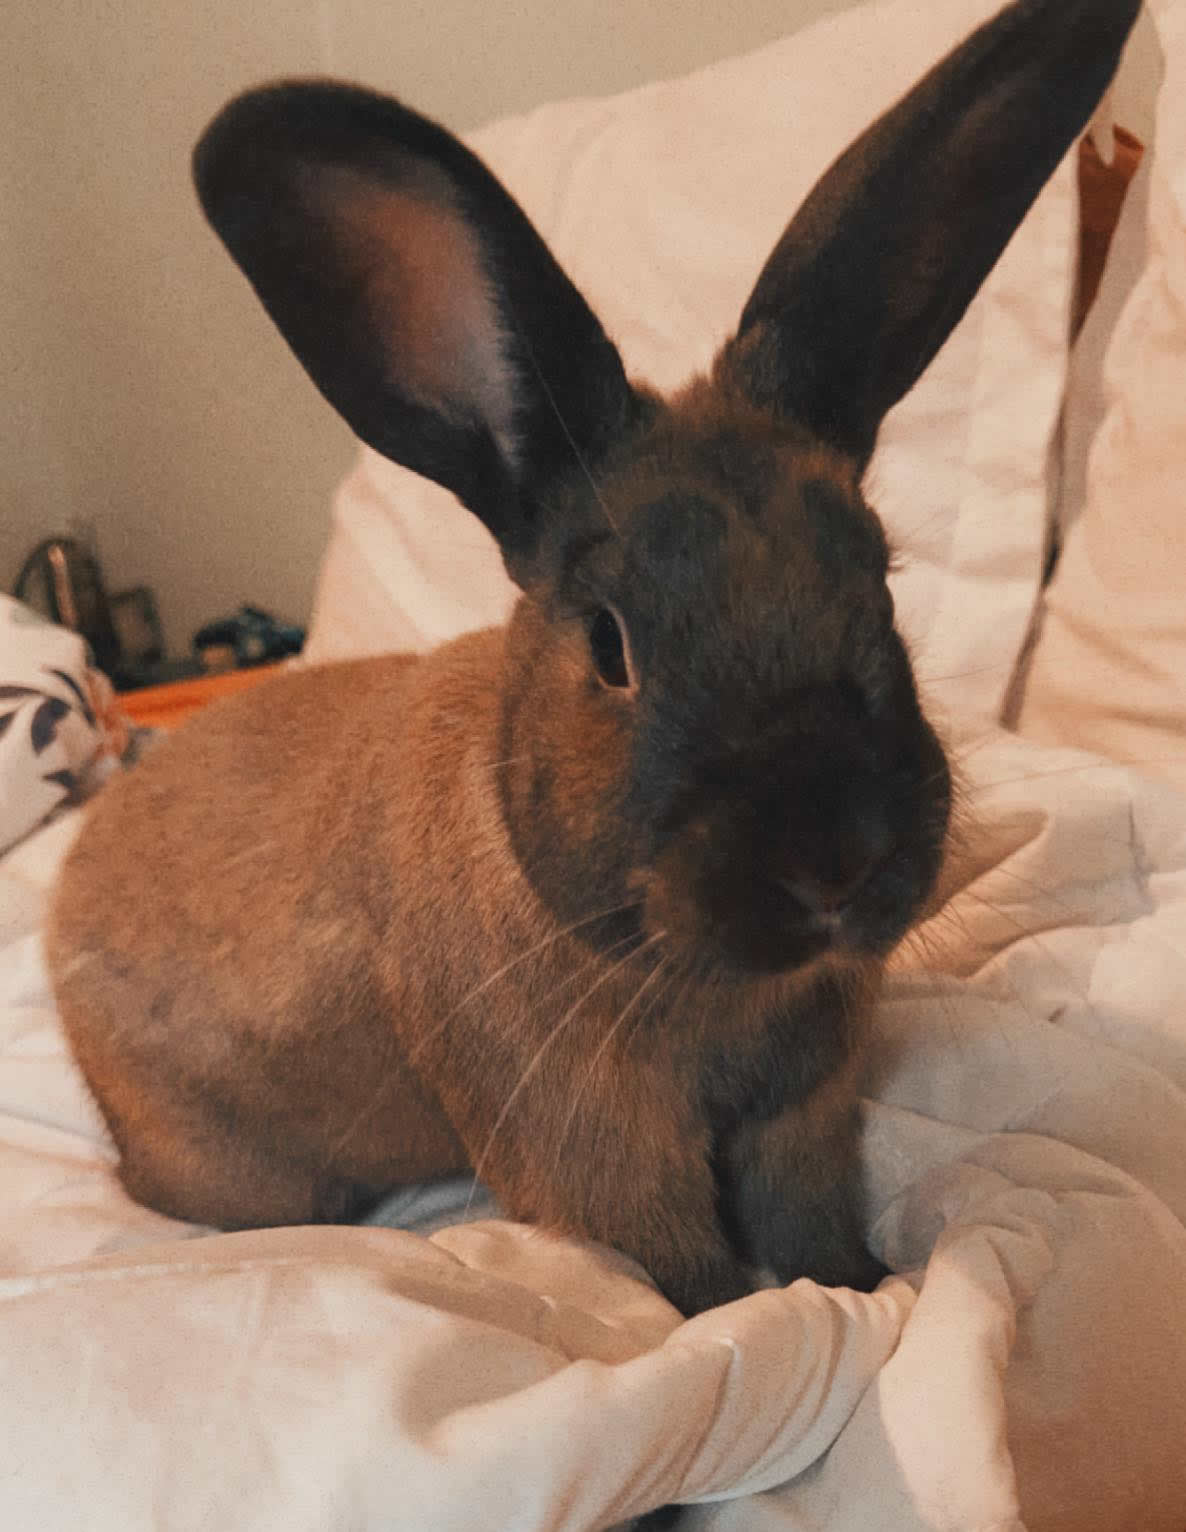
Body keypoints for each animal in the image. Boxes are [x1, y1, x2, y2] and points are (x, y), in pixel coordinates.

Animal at [48, 0, 1138, 1322]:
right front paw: (755, 1310)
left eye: (875, 576)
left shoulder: (802, 1112)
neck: (707, 984)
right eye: (610, 645)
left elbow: (807, 1222)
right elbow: (693, 1272)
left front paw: (864, 1285)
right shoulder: (607, 1148)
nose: (831, 855)